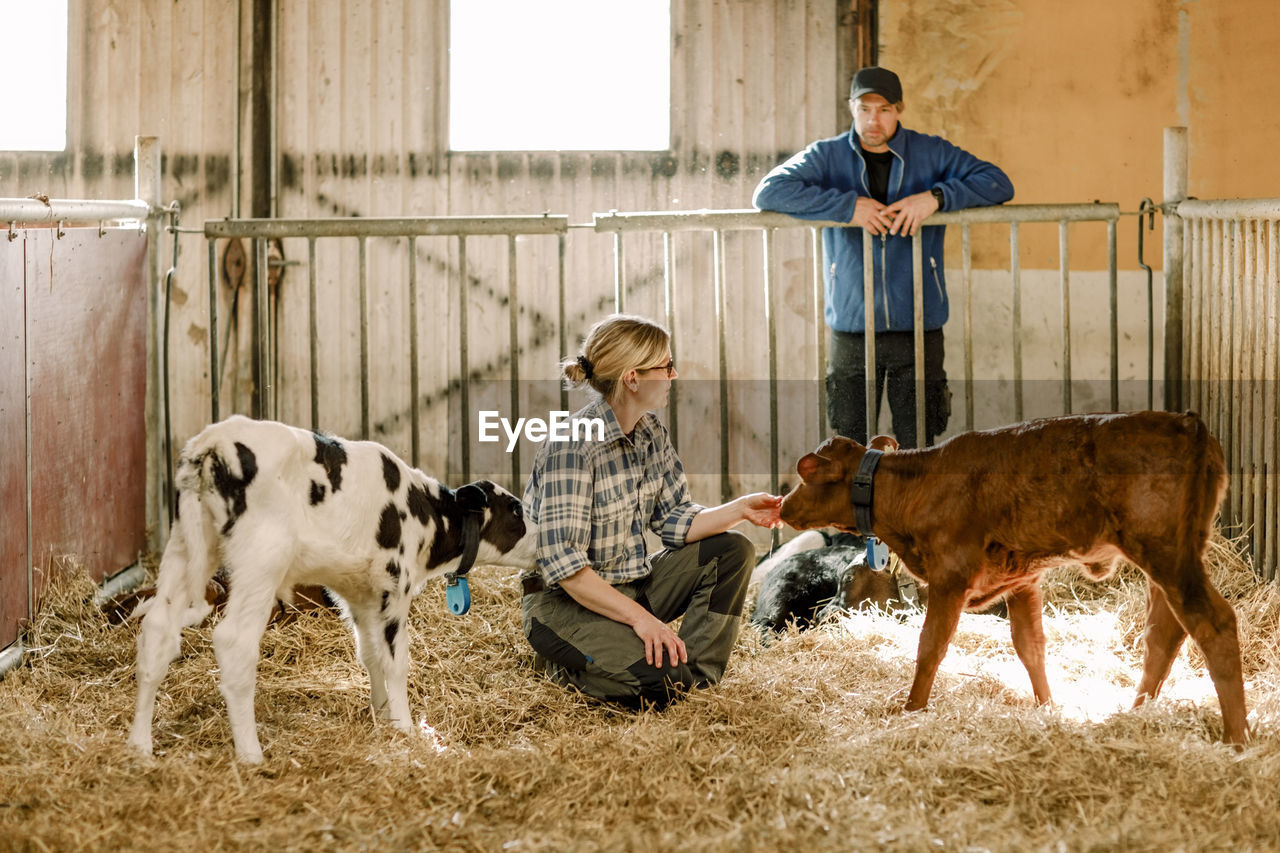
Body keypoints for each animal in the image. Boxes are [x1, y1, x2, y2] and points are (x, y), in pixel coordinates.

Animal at [126, 414, 535, 758]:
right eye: (515, 508)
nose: (541, 534)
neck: (425, 514)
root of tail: (212, 444)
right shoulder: (395, 587)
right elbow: (396, 662)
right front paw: (405, 728)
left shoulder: (361, 595)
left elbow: (370, 655)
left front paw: (382, 716)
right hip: (260, 560)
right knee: (234, 642)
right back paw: (250, 755)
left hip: (186, 546)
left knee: (157, 631)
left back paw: (140, 747)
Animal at [778, 409, 1249, 742]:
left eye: (806, 474)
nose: (782, 506)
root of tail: (1185, 422)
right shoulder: (1022, 580)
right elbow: (1030, 646)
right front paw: (1047, 707)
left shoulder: (951, 575)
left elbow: (930, 647)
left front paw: (912, 709)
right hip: (1171, 557)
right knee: (1163, 633)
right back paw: (1135, 713)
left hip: (1167, 553)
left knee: (1213, 623)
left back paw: (1237, 737)